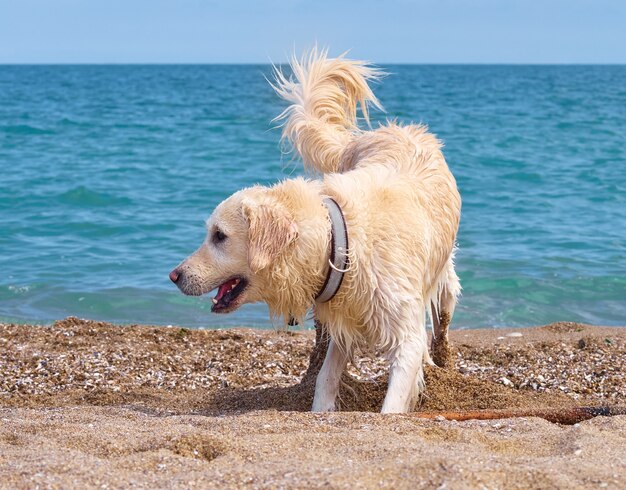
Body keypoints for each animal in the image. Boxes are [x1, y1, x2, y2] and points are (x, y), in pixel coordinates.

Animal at [168, 49, 460, 412]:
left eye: (219, 236)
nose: (174, 275)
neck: (339, 239)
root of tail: (394, 129)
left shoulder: (404, 332)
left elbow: (394, 395)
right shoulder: (343, 313)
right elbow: (326, 377)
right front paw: (320, 410)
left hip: (443, 278)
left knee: (444, 310)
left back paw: (441, 356)